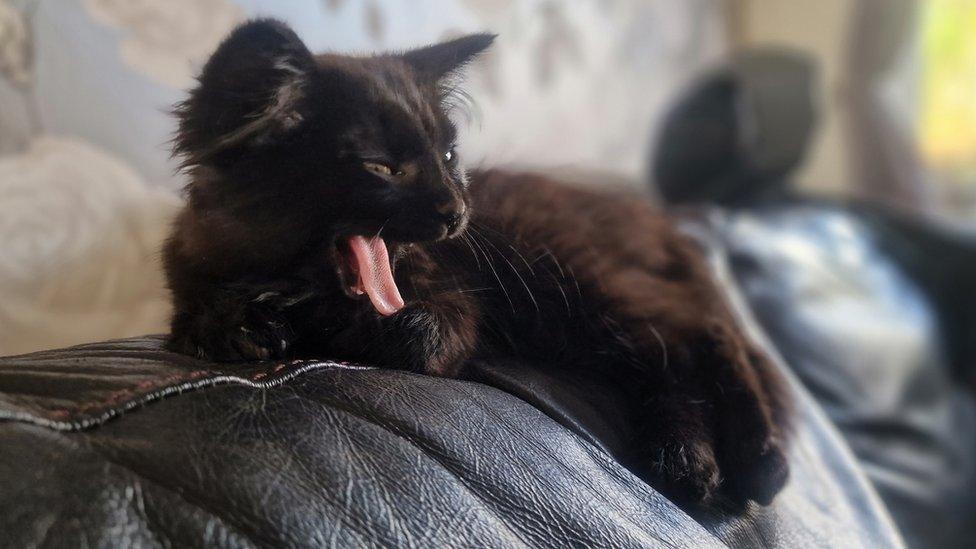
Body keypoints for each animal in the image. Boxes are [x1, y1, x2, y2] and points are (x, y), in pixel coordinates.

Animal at [166, 21, 792, 510]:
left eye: (447, 156)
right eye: (381, 167)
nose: (456, 211)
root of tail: (654, 219)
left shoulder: (453, 307)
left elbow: (412, 333)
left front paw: (322, 326)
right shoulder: (193, 273)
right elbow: (197, 318)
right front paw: (240, 324)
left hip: (585, 285)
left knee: (699, 334)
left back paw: (759, 460)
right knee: (670, 367)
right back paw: (687, 460)